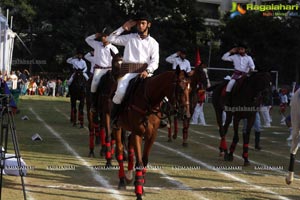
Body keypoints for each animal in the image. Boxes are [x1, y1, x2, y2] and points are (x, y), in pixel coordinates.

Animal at [111, 65, 189, 199]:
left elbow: (144, 160)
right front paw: (138, 193)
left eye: (189, 89)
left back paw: (129, 177)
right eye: (179, 89)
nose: (186, 114)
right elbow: (139, 162)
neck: (148, 101)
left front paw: (141, 187)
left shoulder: (151, 135)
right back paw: (122, 181)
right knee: (120, 152)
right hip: (118, 127)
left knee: (130, 149)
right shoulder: (137, 133)